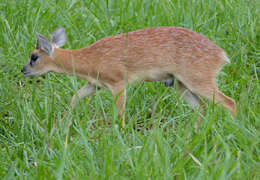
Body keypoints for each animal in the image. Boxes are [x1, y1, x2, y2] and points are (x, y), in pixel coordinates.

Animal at [21, 27, 236, 128]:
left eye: (34, 57)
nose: (23, 70)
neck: (90, 61)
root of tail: (222, 55)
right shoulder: (95, 84)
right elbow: (75, 97)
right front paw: (64, 122)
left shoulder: (117, 81)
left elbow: (119, 113)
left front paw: (120, 134)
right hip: (179, 83)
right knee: (202, 107)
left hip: (198, 78)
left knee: (229, 102)